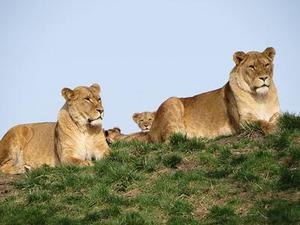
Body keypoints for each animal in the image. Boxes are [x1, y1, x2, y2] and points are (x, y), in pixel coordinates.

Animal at [150, 47, 282, 142]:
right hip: (172, 101)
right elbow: (260, 122)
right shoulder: (243, 121)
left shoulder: (276, 113)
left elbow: (280, 118)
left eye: (266, 65)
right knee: (170, 140)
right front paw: (273, 128)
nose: (264, 78)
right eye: (252, 67)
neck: (260, 98)